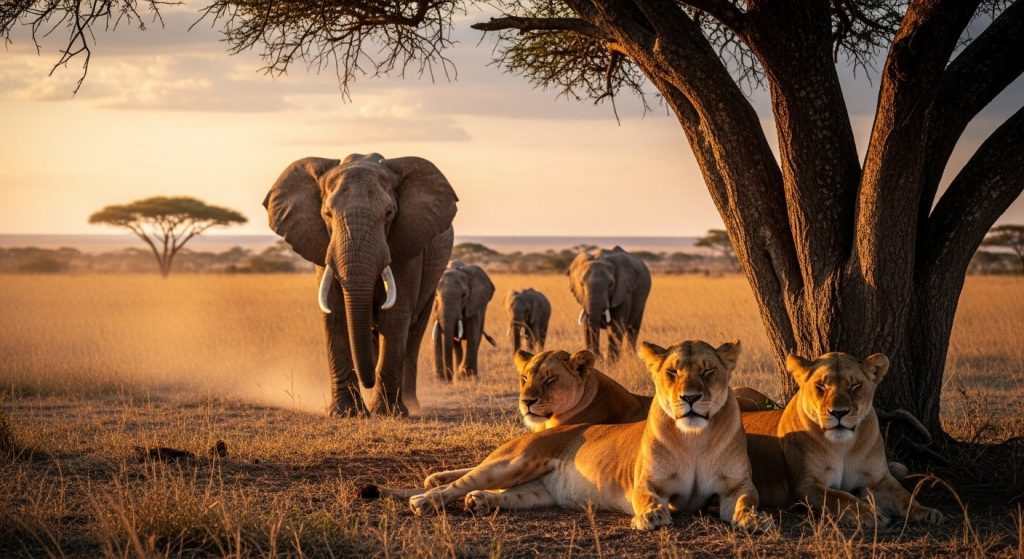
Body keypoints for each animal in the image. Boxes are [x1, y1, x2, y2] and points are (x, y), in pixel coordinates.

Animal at [264, 153, 457, 416]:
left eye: (389, 213)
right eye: (327, 214)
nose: (369, 382)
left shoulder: (408, 242)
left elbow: (395, 316)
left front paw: (386, 413)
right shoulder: (323, 245)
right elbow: (334, 313)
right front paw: (345, 413)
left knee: (414, 332)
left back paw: (410, 404)